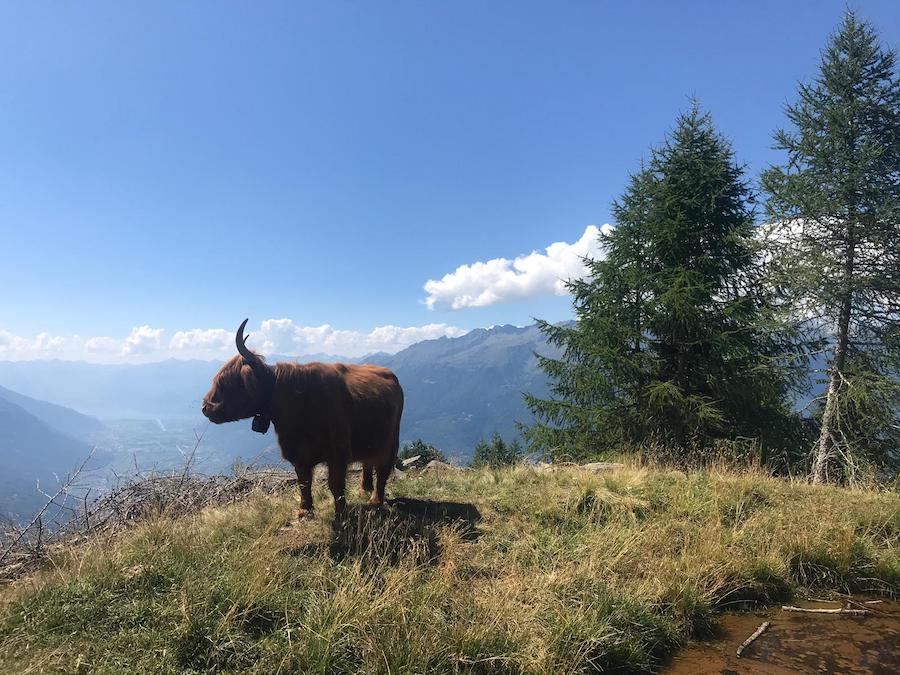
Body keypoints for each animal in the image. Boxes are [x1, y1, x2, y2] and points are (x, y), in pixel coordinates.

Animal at [201, 319, 404, 518]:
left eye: (226, 382)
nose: (205, 407)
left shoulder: (338, 452)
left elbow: (335, 484)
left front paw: (341, 513)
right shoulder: (298, 453)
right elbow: (304, 482)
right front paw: (305, 510)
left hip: (390, 438)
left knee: (382, 467)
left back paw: (375, 499)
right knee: (368, 462)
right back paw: (364, 489)